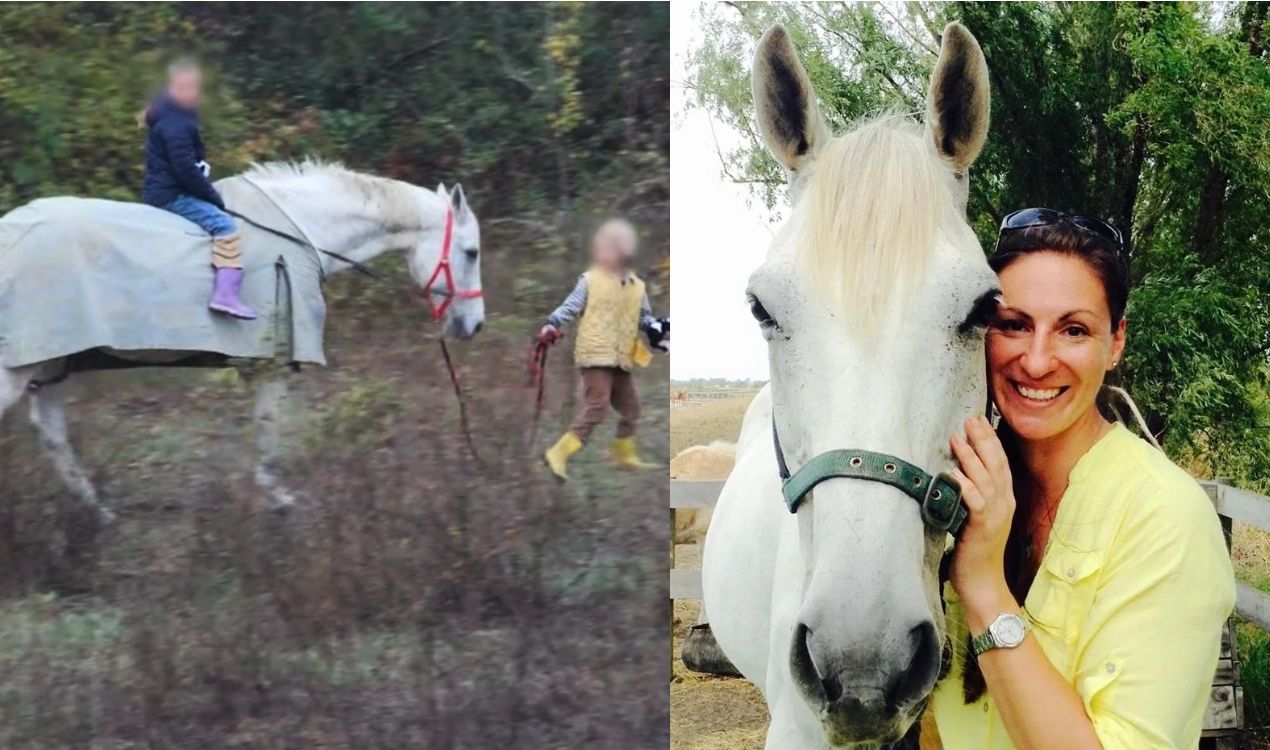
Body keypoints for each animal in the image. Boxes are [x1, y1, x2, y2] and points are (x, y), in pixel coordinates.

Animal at [0, 161, 485, 524]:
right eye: (471, 252)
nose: (475, 325)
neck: (303, 232)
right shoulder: (274, 365)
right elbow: (268, 432)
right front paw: (281, 502)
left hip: (52, 362)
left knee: (53, 436)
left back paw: (99, 513)